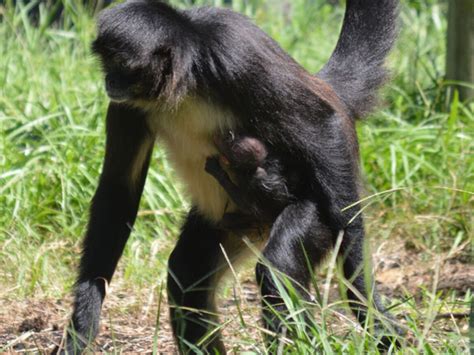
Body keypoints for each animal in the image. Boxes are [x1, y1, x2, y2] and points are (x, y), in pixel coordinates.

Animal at [57, 0, 402, 354]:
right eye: (106, 62)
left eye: (121, 64)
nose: (109, 80)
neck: (185, 79)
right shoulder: (128, 105)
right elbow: (118, 190)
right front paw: (83, 323)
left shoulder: (232, 53)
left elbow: (323, 125)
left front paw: (363, 295)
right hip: (232, 222)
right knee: (186, 275)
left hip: (317, 206)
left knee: (277, 266)